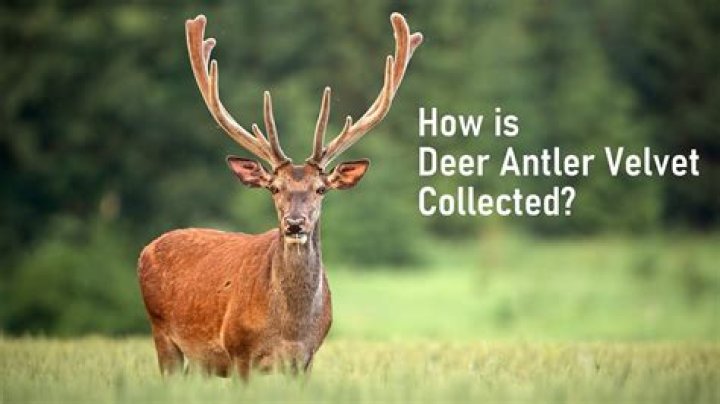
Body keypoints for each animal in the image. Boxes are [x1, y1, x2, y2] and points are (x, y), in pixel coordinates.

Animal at [137, 13, 422, 379]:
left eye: (321, 189)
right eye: (274, 188)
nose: (295, 223)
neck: (290, 330)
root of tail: (146, 249)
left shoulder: (306, 359)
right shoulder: (238, 352)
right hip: (162, 333)